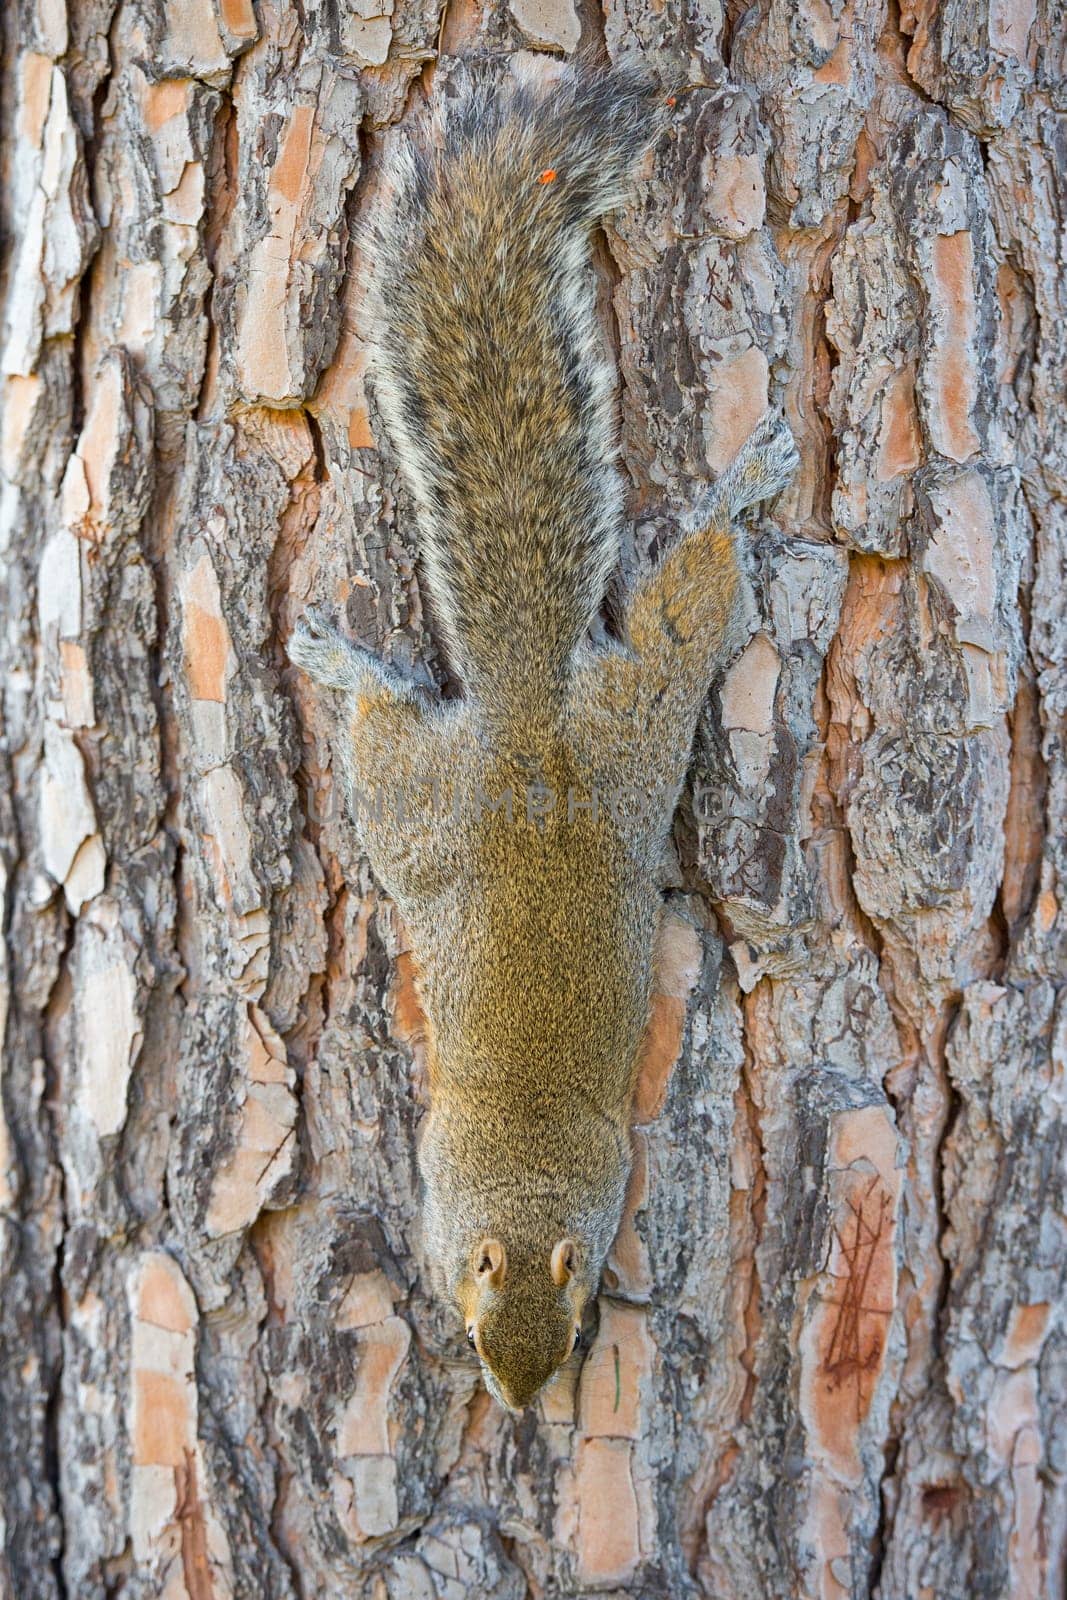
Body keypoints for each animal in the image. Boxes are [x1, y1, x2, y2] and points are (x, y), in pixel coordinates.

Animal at [287, 62, 796, 1414]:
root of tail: (525, 732)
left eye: (563, 1339)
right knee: (673, 613)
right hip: (541, 753)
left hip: (574, 746)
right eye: (477, 1337)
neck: (518, 1172)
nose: (520, 1410)